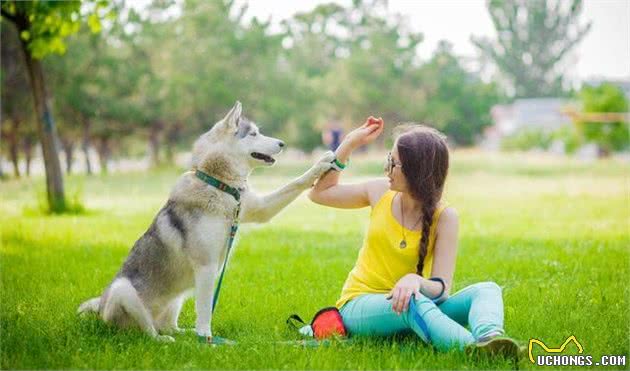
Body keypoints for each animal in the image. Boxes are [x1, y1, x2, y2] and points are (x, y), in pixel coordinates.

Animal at [78, 101, 336, 342]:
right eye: (253, 134)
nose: (282, 143)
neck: (219, 185)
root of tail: (100, 311)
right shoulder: (206, 267)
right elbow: (204, 308)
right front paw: (206, 338)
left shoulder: (259, 209)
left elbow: (295, 182)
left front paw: (321, 164)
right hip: (123, 291)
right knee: (147, 332)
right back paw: (166, 340)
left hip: (176, 299)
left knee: (168, 325)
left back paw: (184, 334)